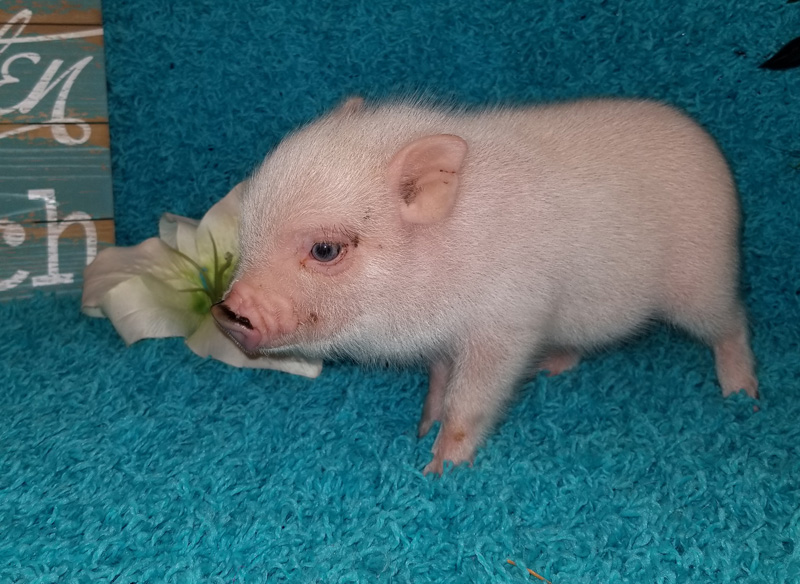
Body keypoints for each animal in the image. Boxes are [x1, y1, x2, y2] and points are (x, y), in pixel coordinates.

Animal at [211, 96, 758, 475]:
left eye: (326, 250)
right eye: (248, 231)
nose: (227, 310)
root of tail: (713, 155)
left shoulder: (507, 327)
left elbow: (470, 398)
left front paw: (438, 469)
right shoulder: (443, 338)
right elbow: (438, 379)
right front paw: (421, 428)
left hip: (702, 278)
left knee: (732, 322)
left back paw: (742, 394)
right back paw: (553, 365)